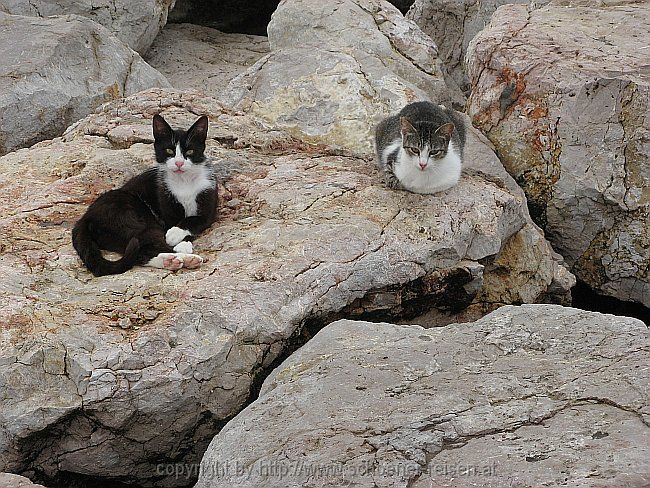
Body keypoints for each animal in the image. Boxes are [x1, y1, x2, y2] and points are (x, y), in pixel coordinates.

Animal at [72, 112, 216, 276]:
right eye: (169, 151)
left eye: (190, 151)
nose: (179, 163)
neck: (184, 181)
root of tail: (85, 217)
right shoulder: (165, 202)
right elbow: (177, 222)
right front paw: (175, 238)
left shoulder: (208, 201)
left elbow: (194, 219)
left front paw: (176, 235)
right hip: (132, 220)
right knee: (144, 245)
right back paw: (179, 258)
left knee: (141, 252)